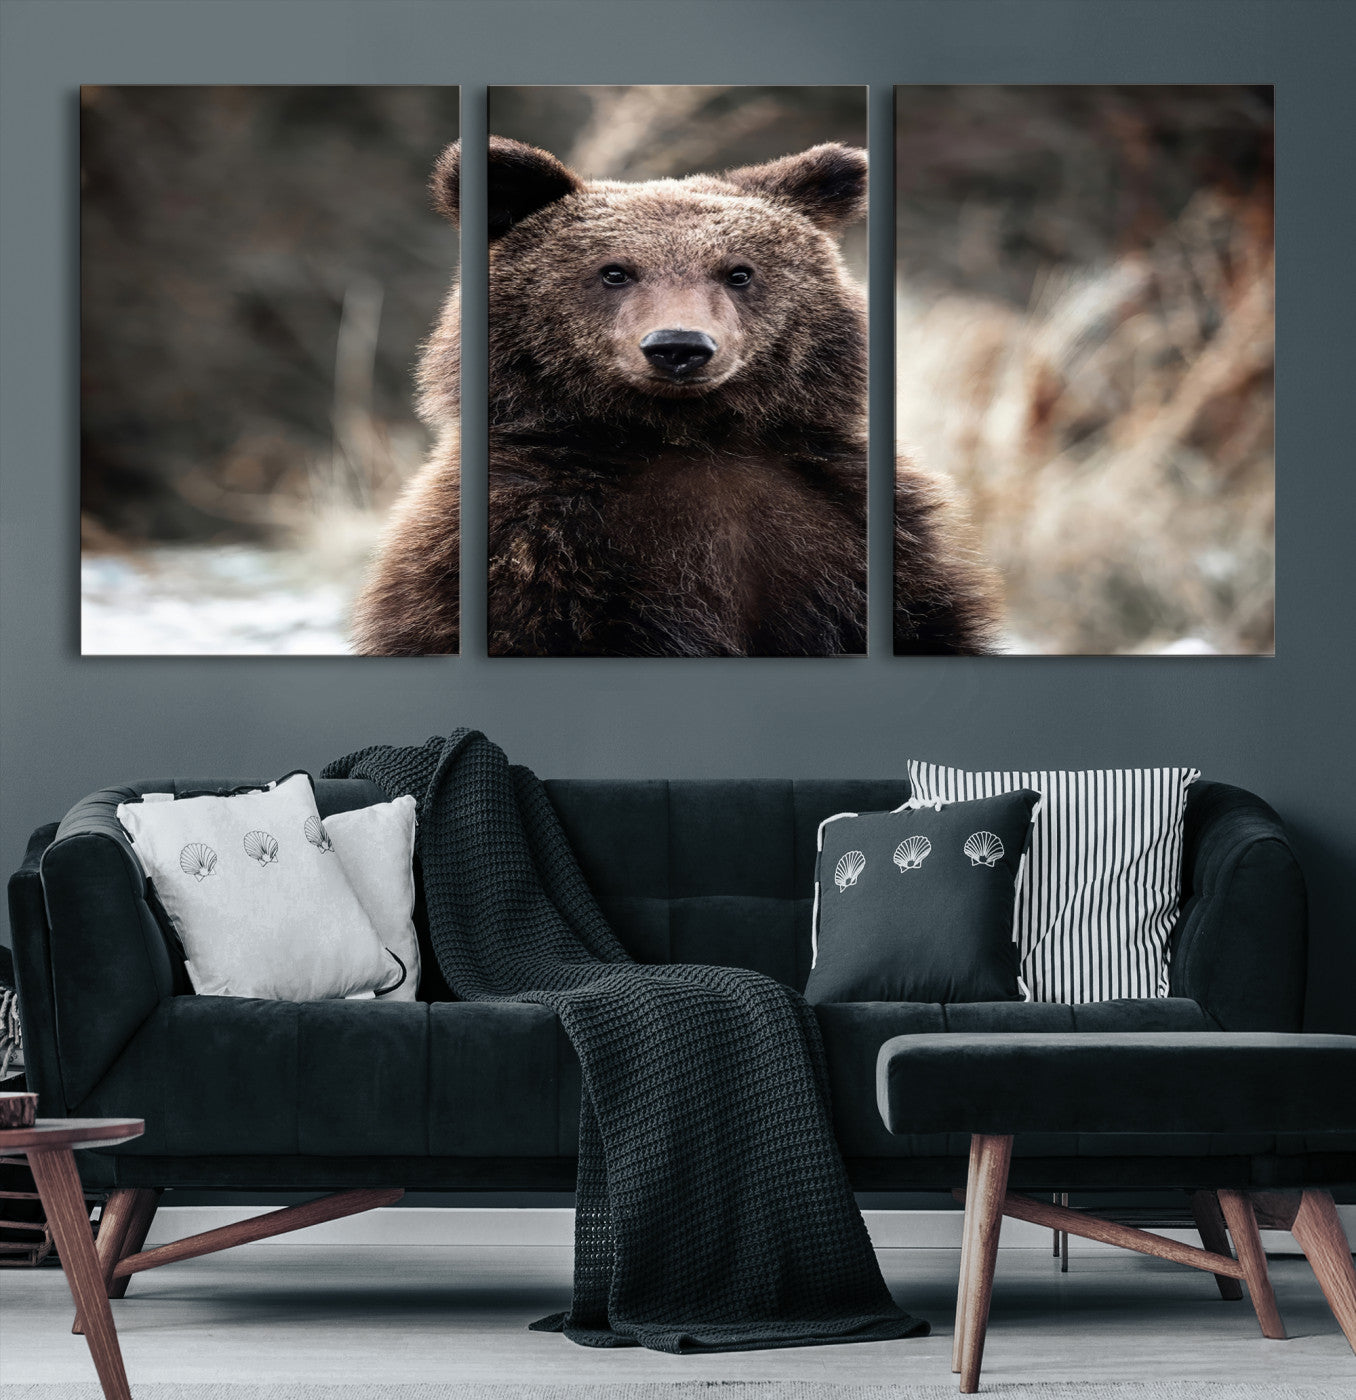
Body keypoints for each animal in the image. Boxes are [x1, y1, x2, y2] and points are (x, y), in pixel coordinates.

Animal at [351, 136, 999, 657]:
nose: (679, 346)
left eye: (738, 271)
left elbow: (926, 624)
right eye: (615, 271)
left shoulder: (853, 528)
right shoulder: (527, 542)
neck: (686, 435)